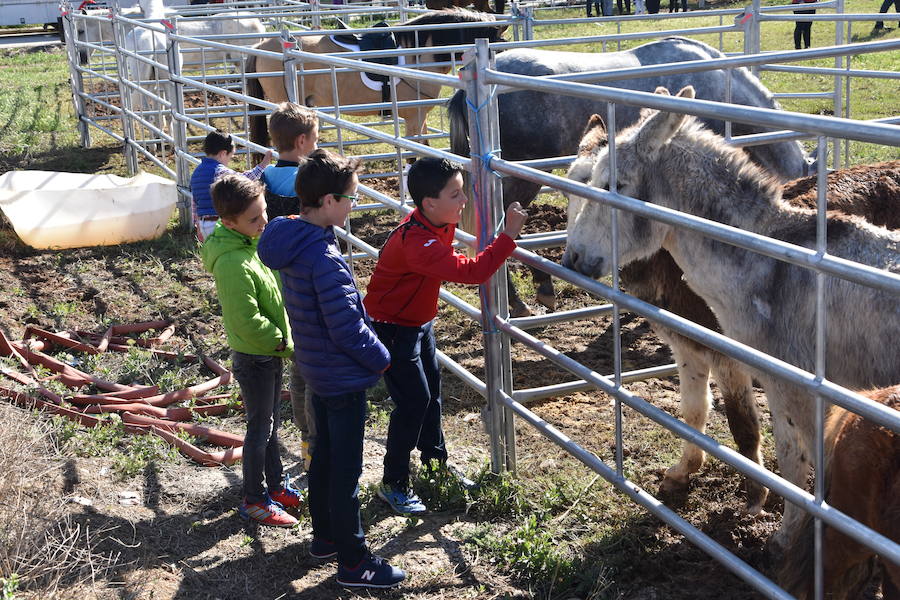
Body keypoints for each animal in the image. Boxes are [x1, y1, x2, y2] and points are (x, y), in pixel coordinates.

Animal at [564, 85, 900, 548]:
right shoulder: (767, 377)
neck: (768, 260)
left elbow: (814, 466)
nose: (572, 259)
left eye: (612, 185)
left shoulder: (803, 387)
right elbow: (787, 457)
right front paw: (786, 535)